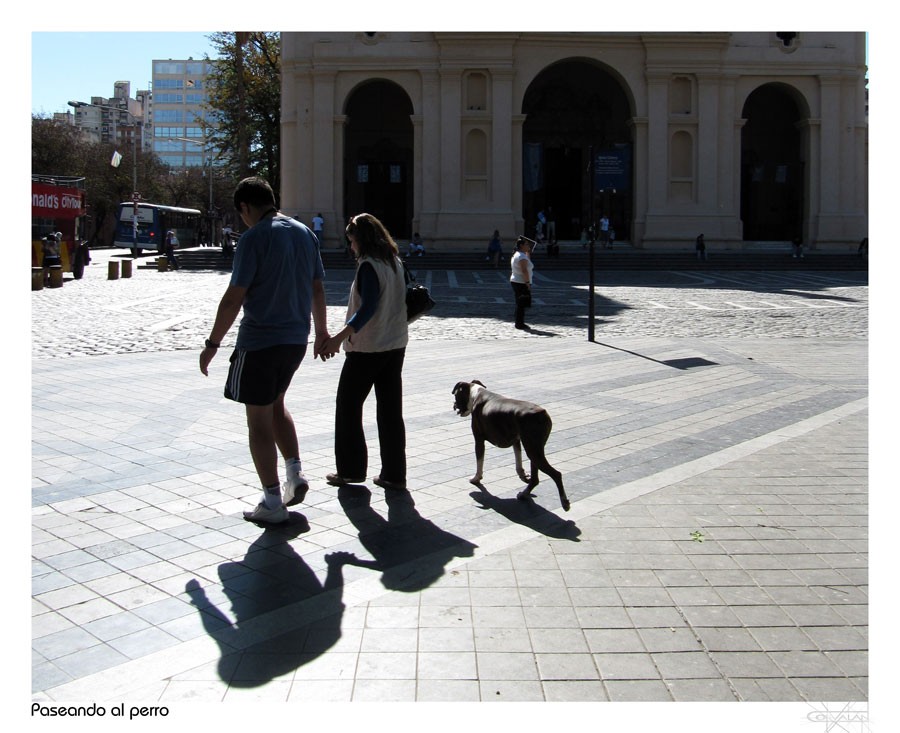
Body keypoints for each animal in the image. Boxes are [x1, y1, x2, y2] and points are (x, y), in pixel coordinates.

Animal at [450, 380, 568, 512]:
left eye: (456, 395)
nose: (454, 405)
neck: (475, 394)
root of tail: (541, 413)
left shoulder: (479, 440)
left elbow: (479, 461)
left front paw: (476, 478)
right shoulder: (516, 441)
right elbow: (518, 461)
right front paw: (523, 475)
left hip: (533, 450)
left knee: (556, 474)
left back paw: (564, 502)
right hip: (534, 450)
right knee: (535, 479)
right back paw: (524, 494)